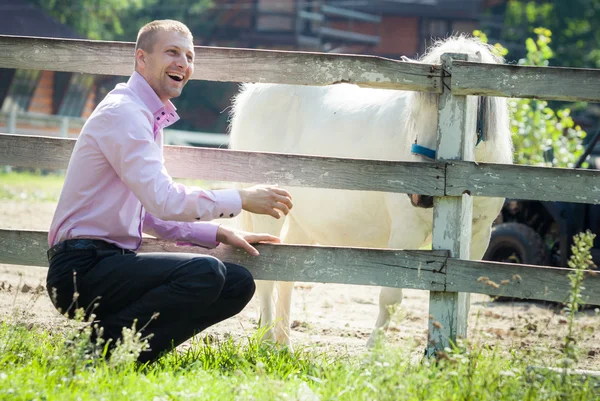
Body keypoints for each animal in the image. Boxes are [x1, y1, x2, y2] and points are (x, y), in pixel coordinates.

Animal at [227, 35, 512, 346]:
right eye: (414, 114)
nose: (420, 196)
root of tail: (253, 93)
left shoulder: (478, 238)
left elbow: (466, 296)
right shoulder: (405, 233)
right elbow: (390, 297)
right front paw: (373, 349)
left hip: (301, 219)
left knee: (286, 273)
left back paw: (283, 345)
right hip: (267, 212)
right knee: (267, 277)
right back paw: (267, 343)